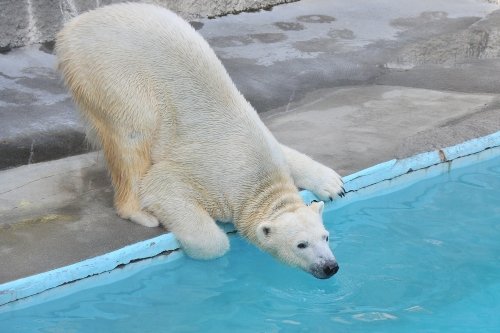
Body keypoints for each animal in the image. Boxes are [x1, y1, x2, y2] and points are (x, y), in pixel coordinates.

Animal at [55, 2, 344, 278]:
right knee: (133, 135)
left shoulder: (265, 141)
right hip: (112, 72)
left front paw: (333, 184)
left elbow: (288, 152)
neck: (258, 176)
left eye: (326, 236)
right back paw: (140, 213)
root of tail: (70, 29)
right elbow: (163, 186)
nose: (330, 266)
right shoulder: (213, 177)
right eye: (301, 245)